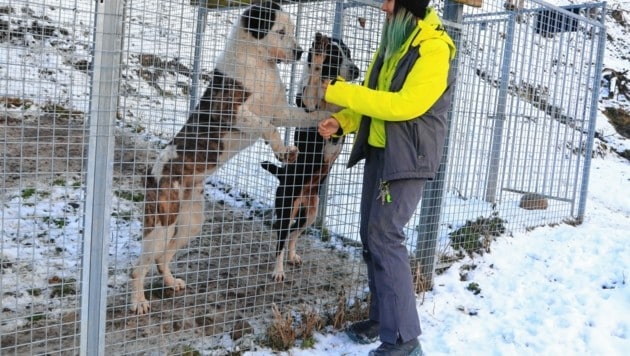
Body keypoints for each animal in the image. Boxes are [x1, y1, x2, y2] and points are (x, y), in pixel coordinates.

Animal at [131, 2, 334, 314]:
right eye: (280, 31)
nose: (300, 52)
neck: (258, 61)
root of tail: (152, 173)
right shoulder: (235, 113)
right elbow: (266, 127)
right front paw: (282, 151)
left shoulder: (281, 111)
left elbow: (309, 116)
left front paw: (336, 114)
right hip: (162, 221)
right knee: (140, 265)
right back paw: (139, 301)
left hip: (191, 222)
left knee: (162, 257)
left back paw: (171, 283)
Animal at [262, 32, 360, 280]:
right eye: (334, 56)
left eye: (349, 53)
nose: (356, 71)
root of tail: (282, 175)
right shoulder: (306, 106)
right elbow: (311, 84)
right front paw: (317, 55)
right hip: (287, 208)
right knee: (281, 238)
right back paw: (278, 270)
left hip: (311, 214)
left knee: (294, 234)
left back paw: (292, 257)